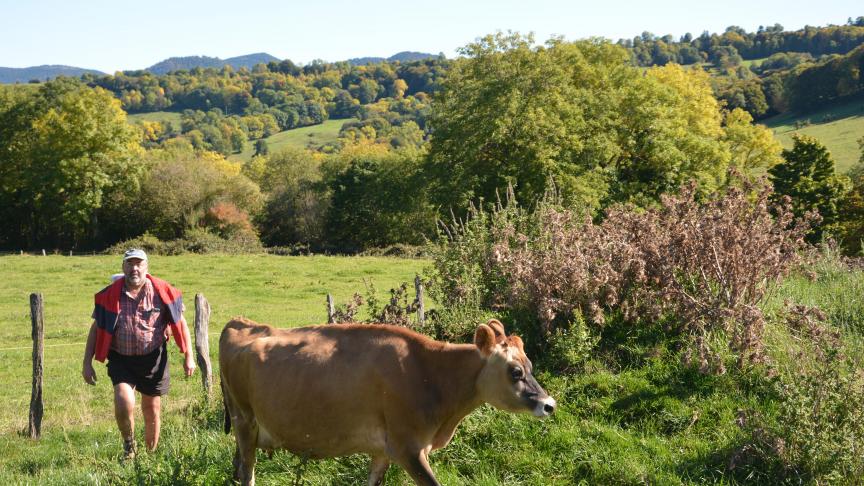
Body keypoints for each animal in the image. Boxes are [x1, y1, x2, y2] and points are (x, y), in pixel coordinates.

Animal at [219, 318, 556, 484]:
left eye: (530, 365)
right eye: (515, 371)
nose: (549, 404)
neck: (430, 375)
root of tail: (241, 322)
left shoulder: (383, 451)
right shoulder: (408, 448)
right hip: (244, 421)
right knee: (247, 474)